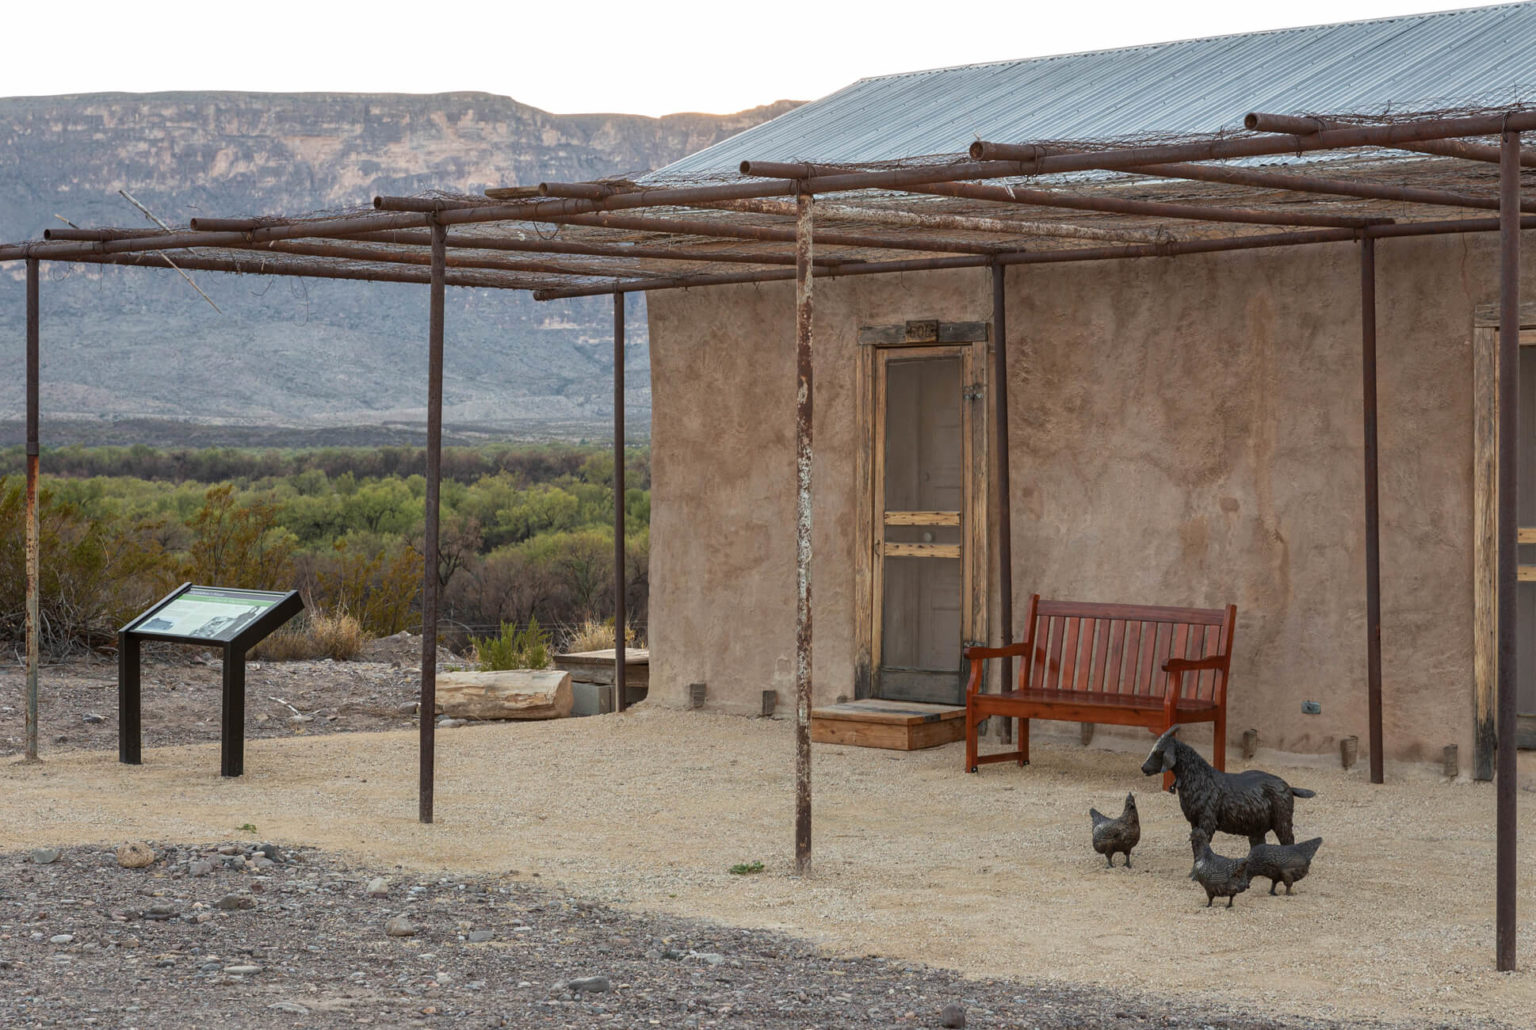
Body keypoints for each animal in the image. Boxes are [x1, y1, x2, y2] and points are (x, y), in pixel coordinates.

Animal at [1141, 726, 1315, 846]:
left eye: (1158, 752)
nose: (1143, 768)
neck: (1201, 778)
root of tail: (1289, 787)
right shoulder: (1194, 821)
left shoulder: (1207, 820)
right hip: (1257, 825)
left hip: (1282, 820)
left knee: (1289, 841)